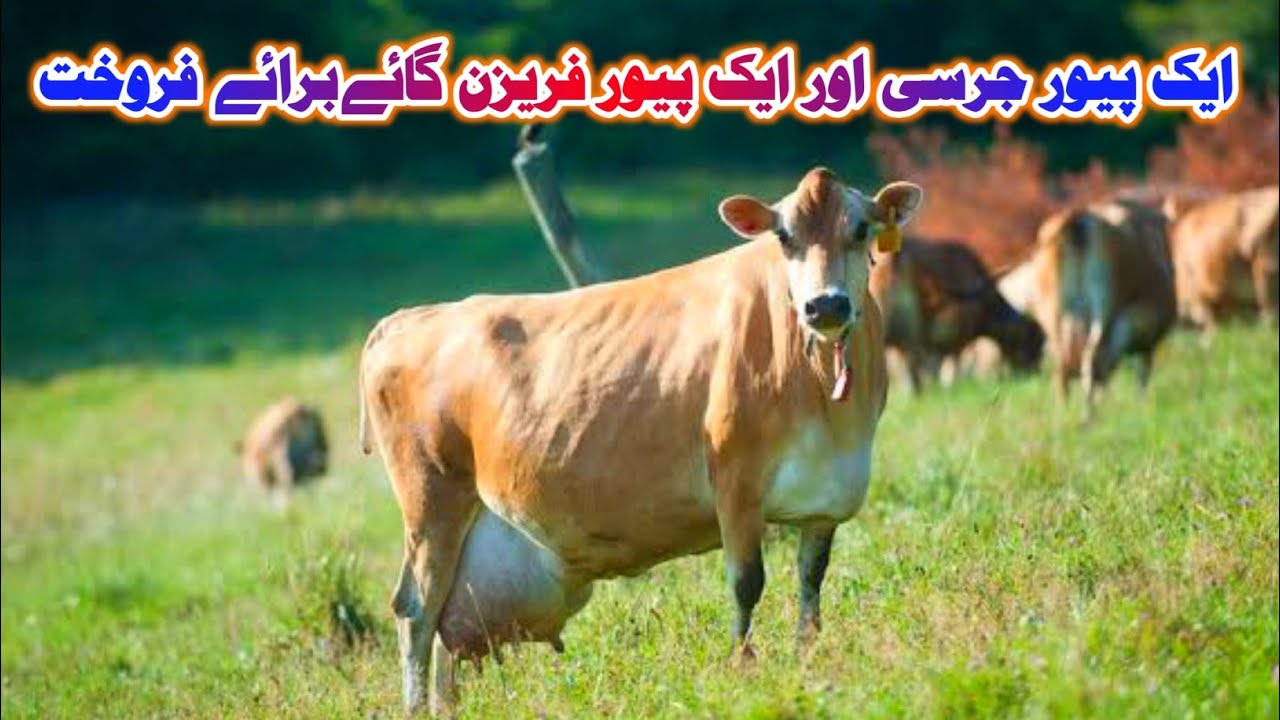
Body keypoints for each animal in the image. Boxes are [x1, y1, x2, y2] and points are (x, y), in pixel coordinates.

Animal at [358, 168, 922, 715]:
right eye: (784, 237)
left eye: (861, 229)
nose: (824, 306)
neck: (824, 396)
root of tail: (410, 316)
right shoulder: (735, 484)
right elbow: (747, 583)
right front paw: (743, 666)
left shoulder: (826, 497)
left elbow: (811, 581)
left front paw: (807, 654)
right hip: (432, 498)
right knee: (416, 610)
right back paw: (415, 706)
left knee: (444, 625)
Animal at [1027, 200, 1176, 418]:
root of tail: (1079, 217)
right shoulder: (1143, 335)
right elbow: (1140, 373)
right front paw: (1141, 408)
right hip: (1103, 308)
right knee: (1090, 360)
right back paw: (1088, 417)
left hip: (1052, 312)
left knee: (1062, 367)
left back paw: (1064, 415)